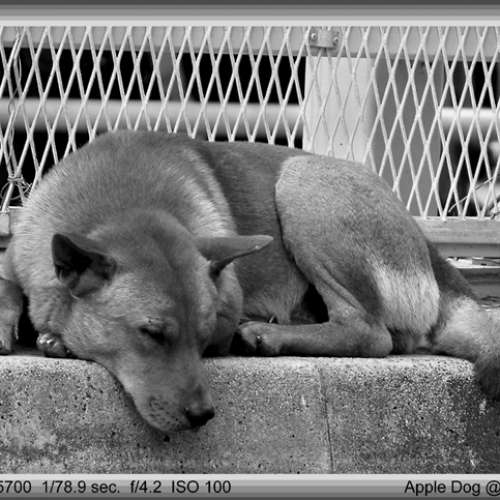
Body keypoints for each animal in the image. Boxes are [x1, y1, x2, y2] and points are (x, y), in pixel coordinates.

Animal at [0, 130, 499, 433]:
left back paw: (268, 334)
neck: (120, 208)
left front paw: (59, 341)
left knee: (370, 332)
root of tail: (430, 248)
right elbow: (7, 285)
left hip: (302, 183)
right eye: (151, 334)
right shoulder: (16, 252)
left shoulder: (227, 303)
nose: (202, 415)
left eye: (203, 337)